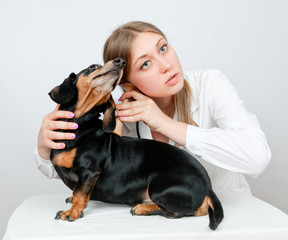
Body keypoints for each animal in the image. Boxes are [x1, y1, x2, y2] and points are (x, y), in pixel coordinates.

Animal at [48, 57, 224, 230]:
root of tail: (208, 185)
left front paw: (72, 212)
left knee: (178, 212)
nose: (121, 61)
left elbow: (79, 193)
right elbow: (77, 192)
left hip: (157, 185)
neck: (80, 124)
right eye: (93, 67)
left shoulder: (88, 172)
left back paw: (142, 208)